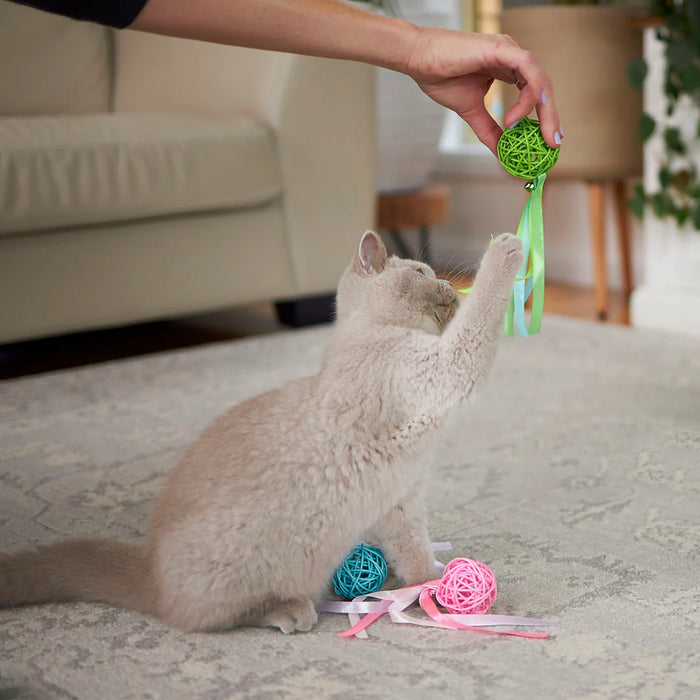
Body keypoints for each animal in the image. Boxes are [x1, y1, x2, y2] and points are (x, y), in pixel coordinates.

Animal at [0, 231, 524, 636]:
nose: (448, 285)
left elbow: (412, 545)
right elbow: (474, 329)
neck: (371, 332)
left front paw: (428, 583)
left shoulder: (401, 498)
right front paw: (505, 251)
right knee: (208, 617)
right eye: (420, 271)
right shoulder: (443, 370)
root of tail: (150, 573)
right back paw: (290, 611)